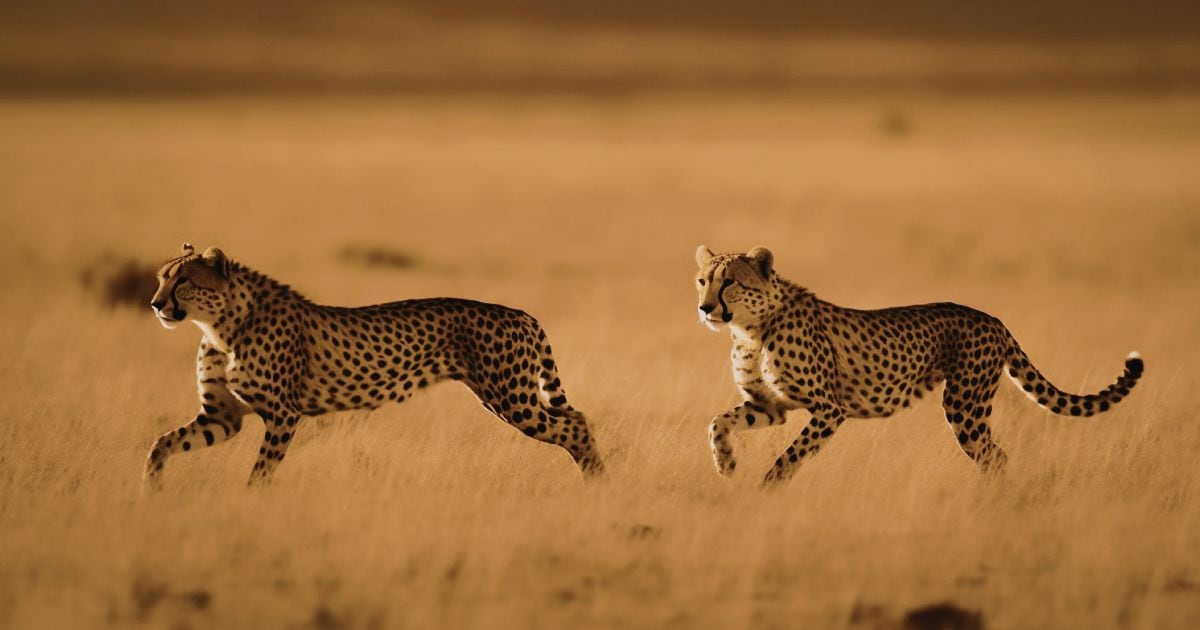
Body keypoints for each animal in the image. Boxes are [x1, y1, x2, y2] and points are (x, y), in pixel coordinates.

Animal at [145, 243, 603, 486]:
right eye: (161, 277)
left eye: (183, 281)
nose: (154, 304)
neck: (221, 326)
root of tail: (520, 312)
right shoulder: (222, 417)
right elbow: (163, 443)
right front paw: (152, 487)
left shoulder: (282, 414)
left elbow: (260, 470)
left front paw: (250, 502)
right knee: (575, 420)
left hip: (512, 399)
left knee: (576, 424)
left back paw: (598, 483)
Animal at [694, 245, 1145, 486]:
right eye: (703, 280)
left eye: (730, 281)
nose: (704, 308)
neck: (751, 331)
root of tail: (993, 318)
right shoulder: (769, 407)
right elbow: (717, 422)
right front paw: (727, 464)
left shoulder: (829, 410)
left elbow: (791, 455)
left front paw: (766, 488)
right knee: (995, 456)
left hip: (965, 407)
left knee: (995, 456)